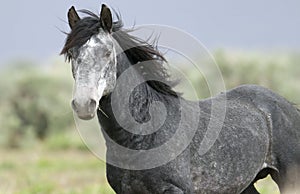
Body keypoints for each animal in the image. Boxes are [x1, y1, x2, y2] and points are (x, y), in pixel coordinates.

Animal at [60, 3, 300, 193]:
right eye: (72, 54)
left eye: (107, 53)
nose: (83, 105)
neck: (142, 137)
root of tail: (288, 106)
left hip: (289, 179)